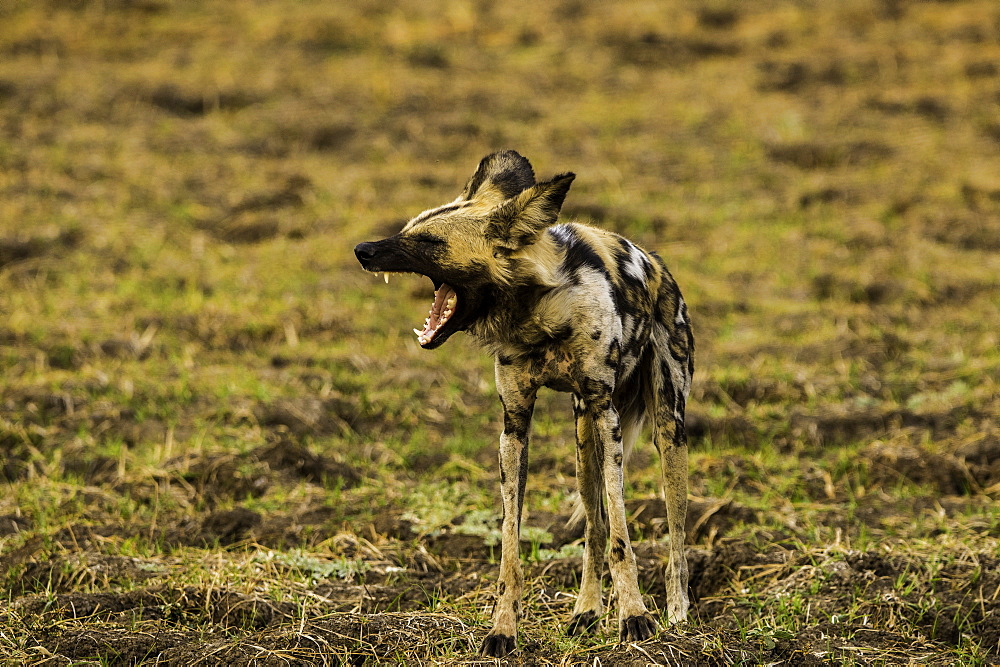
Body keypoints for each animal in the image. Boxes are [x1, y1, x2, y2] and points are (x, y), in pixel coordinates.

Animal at [354, 151, 696, 656]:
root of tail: (658, 265)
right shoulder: (514, 427)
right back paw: (586, 612)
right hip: (583, 444)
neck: (538, 315)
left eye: (430, 241)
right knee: (593, 526)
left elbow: (623, 537)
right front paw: (503, 629)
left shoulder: (607, 414)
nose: (363, 250)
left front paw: (635, 619)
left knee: (673, 536)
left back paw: (676, 616)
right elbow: (512, 549)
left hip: (666, 432)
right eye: (408, 227)